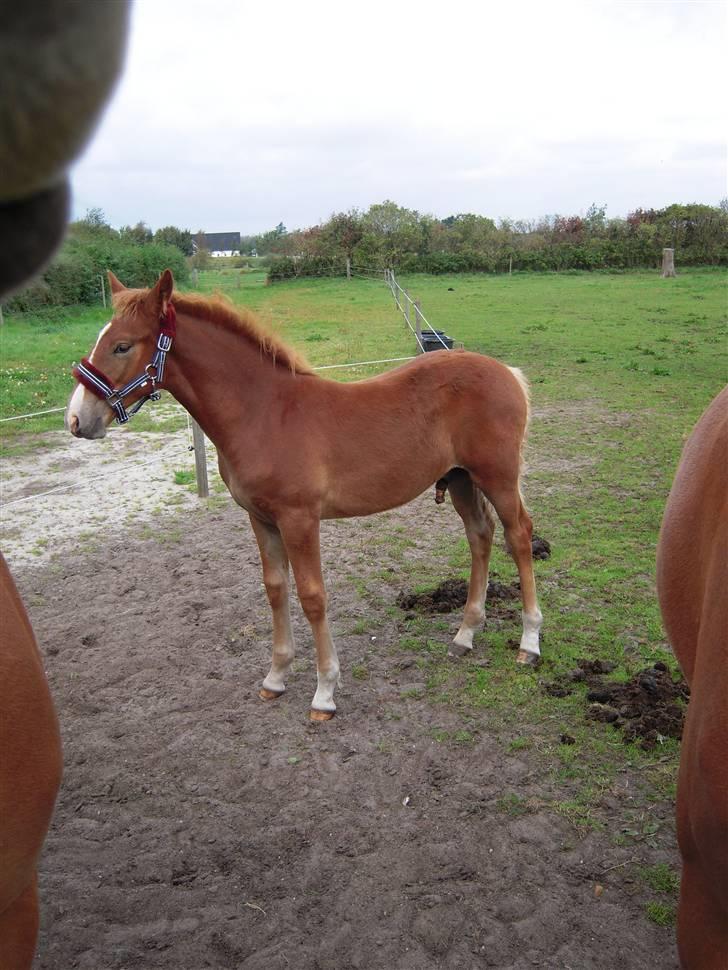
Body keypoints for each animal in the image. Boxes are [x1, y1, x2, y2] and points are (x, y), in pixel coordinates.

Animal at [68, 272, 544, 720]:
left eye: (122, 346)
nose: (77, 419)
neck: (264, 414)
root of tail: (508, 373)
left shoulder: (299, 518)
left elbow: (313, 596)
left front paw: (325, 692)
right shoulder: (260, 518)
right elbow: (276, 588)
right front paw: (276, 676)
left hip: (498, 478)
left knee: (518, 535)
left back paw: (529, 641)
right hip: (461, 479)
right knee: (480, 536)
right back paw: (465, 634)